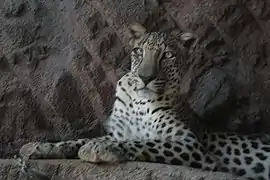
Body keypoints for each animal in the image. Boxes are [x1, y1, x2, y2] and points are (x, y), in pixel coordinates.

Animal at [20, 22, 270, 180]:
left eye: (167, 55)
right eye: (139, 51)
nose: (145, 77)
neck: (138, 103)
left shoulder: (192, 145)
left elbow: (147, 143)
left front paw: (99, 148)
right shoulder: (118, 132)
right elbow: (79, 139)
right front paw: (39, 147)